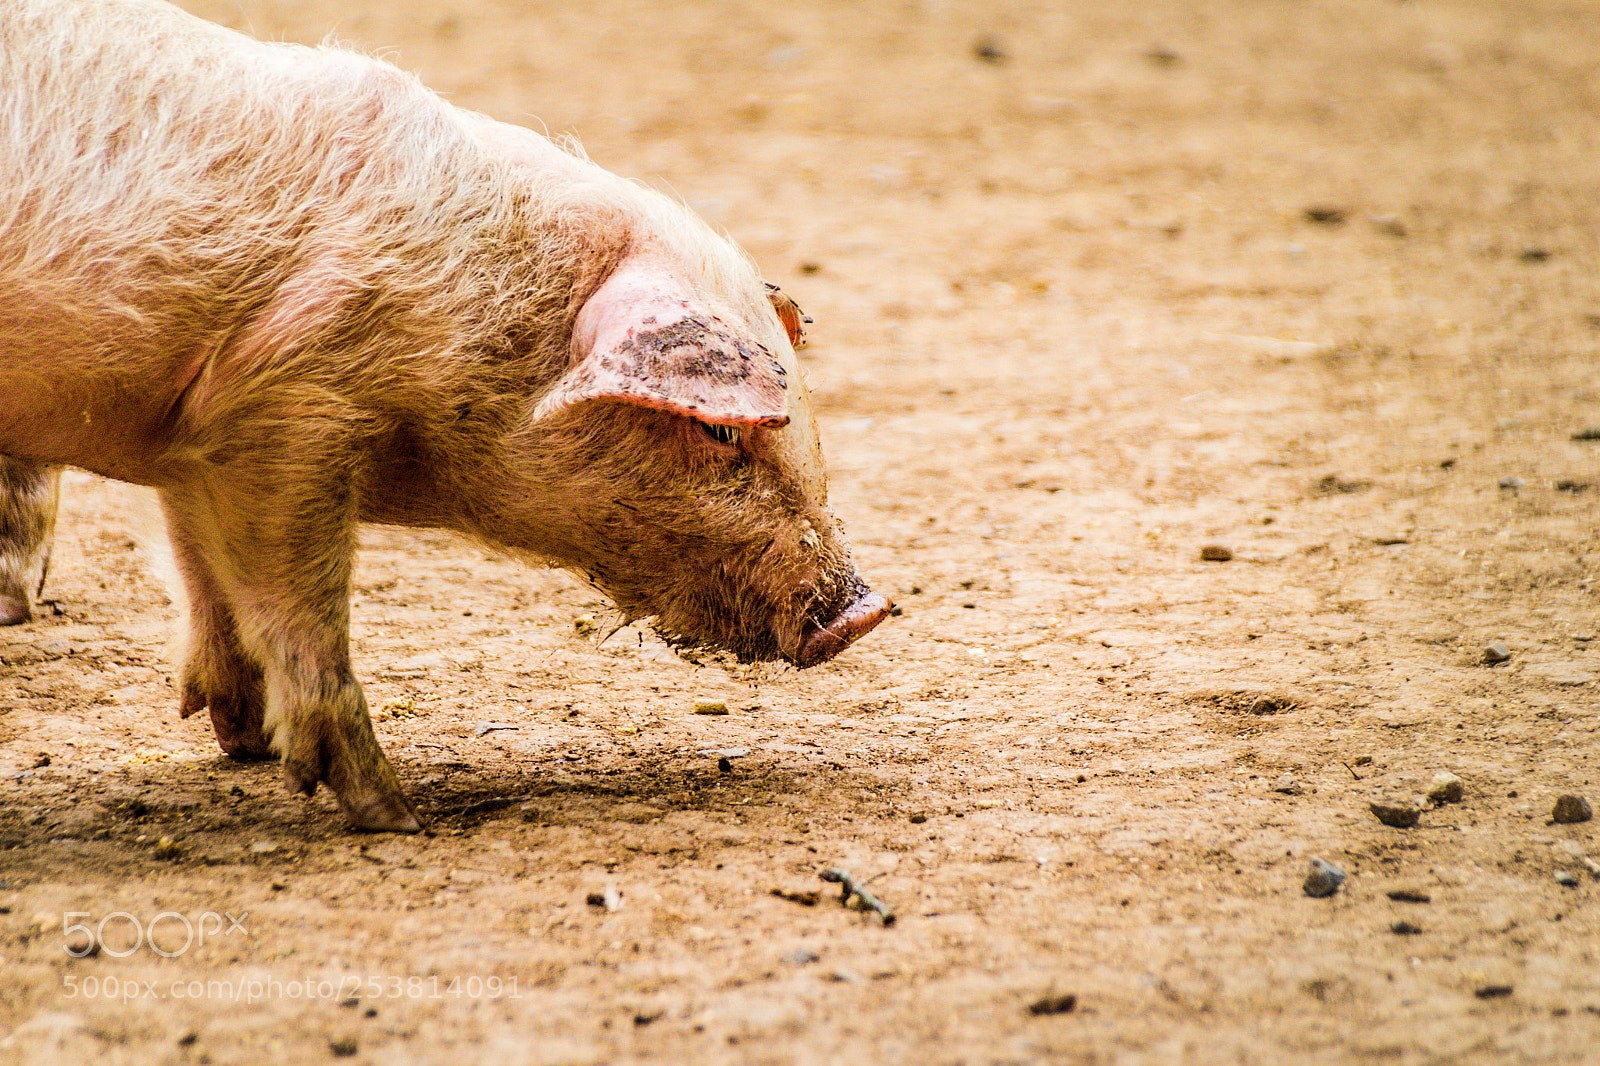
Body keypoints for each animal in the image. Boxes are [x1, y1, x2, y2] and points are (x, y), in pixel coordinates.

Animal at [0, 0, 891, 832]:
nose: (864, 611)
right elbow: (301, 609)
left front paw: (244, 744)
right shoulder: (281, 410)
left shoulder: (193, 431)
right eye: (719, 429)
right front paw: (395, 815)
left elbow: (203, 575)